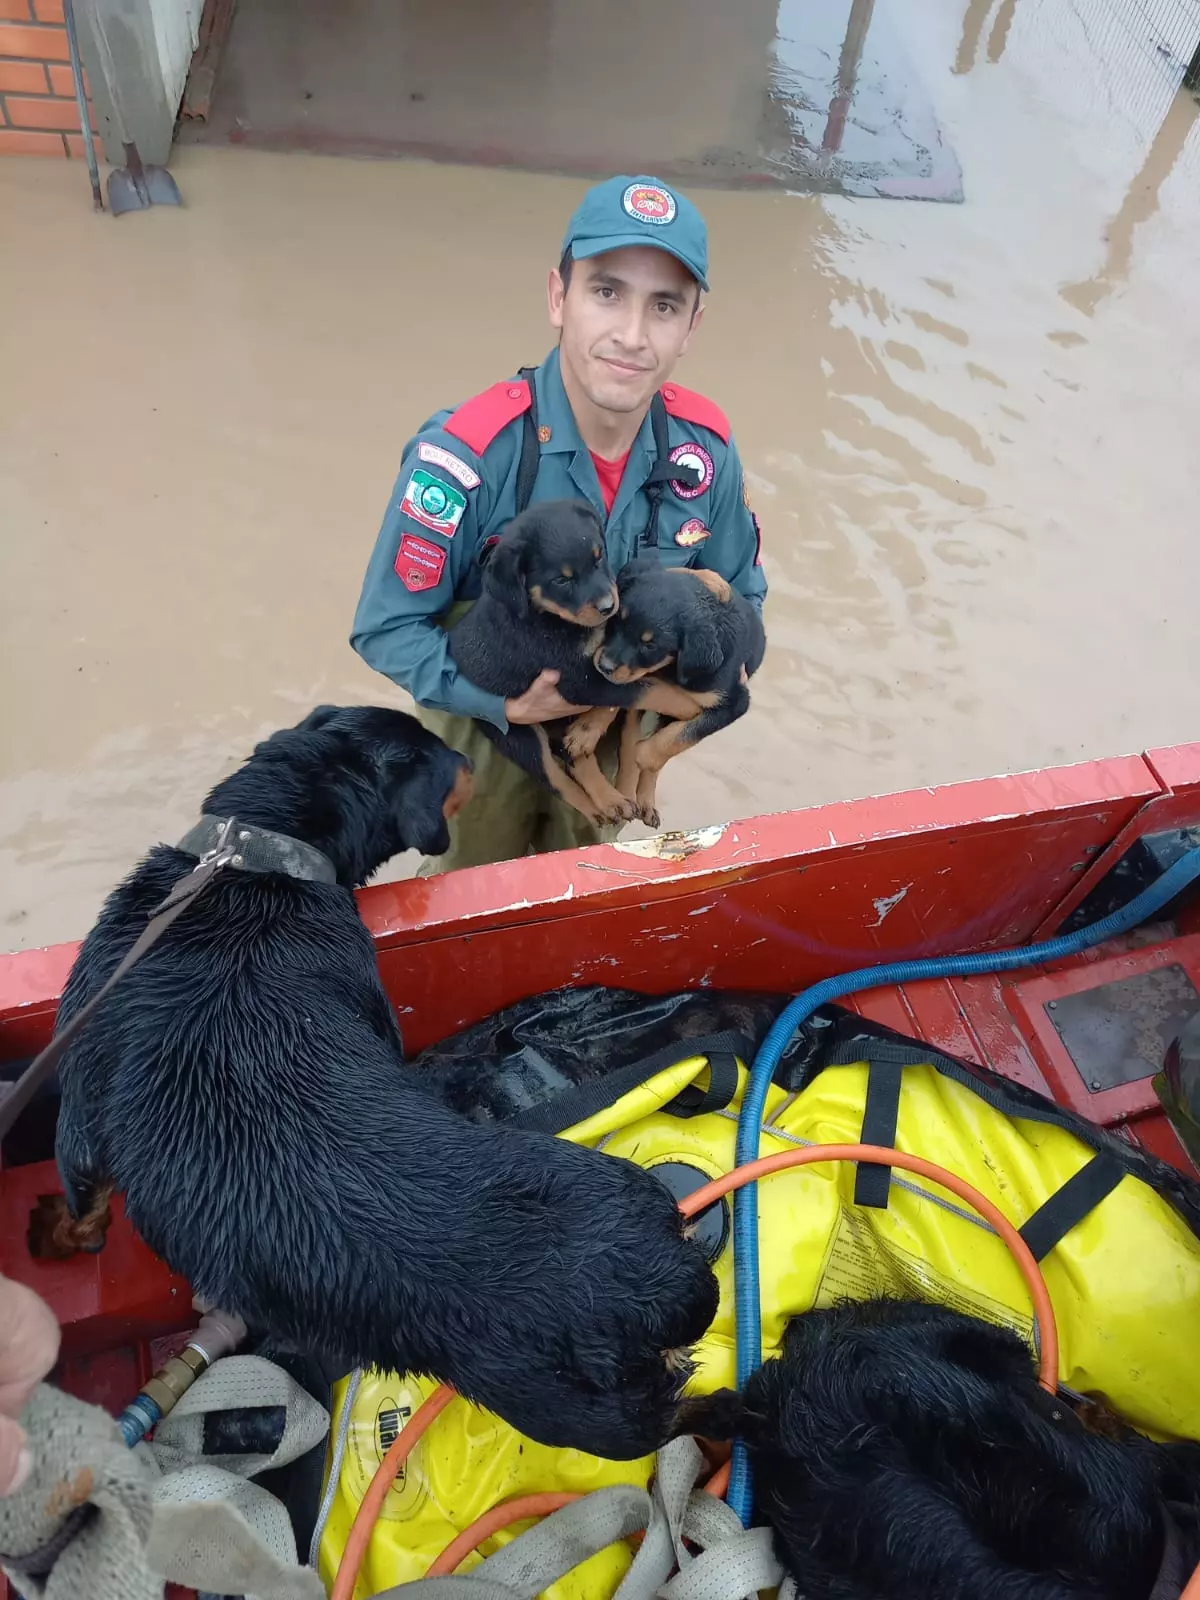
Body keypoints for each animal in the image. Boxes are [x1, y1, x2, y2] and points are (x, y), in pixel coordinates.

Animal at [44, 707, 723, 1459]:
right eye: (444, 757)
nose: (478, 747)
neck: (254, 858)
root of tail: (660, 1278)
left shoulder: (79, 1101)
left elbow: (83, 1198)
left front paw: (59, 1235)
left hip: (581, 1415)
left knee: (688, 1414)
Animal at [448, 496, 720, 825]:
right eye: (561, 580)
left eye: (598, 558)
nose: (607, 606)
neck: (550, 617)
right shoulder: (578, 681)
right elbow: (646, 688)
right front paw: (689, 705)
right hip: (517, 733)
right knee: (555, 777)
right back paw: (601, 805)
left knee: (574, 755)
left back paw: (610, 799)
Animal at [569, 553, 764, 825]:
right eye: (617, 620)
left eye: (650, 646)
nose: (603, 666)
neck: (670, 669)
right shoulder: (639, 678)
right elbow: (617, 697)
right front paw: (585, 730)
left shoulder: (735, 701)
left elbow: (684, 735)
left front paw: (645, 754)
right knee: (628, 742)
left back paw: (644, 799)